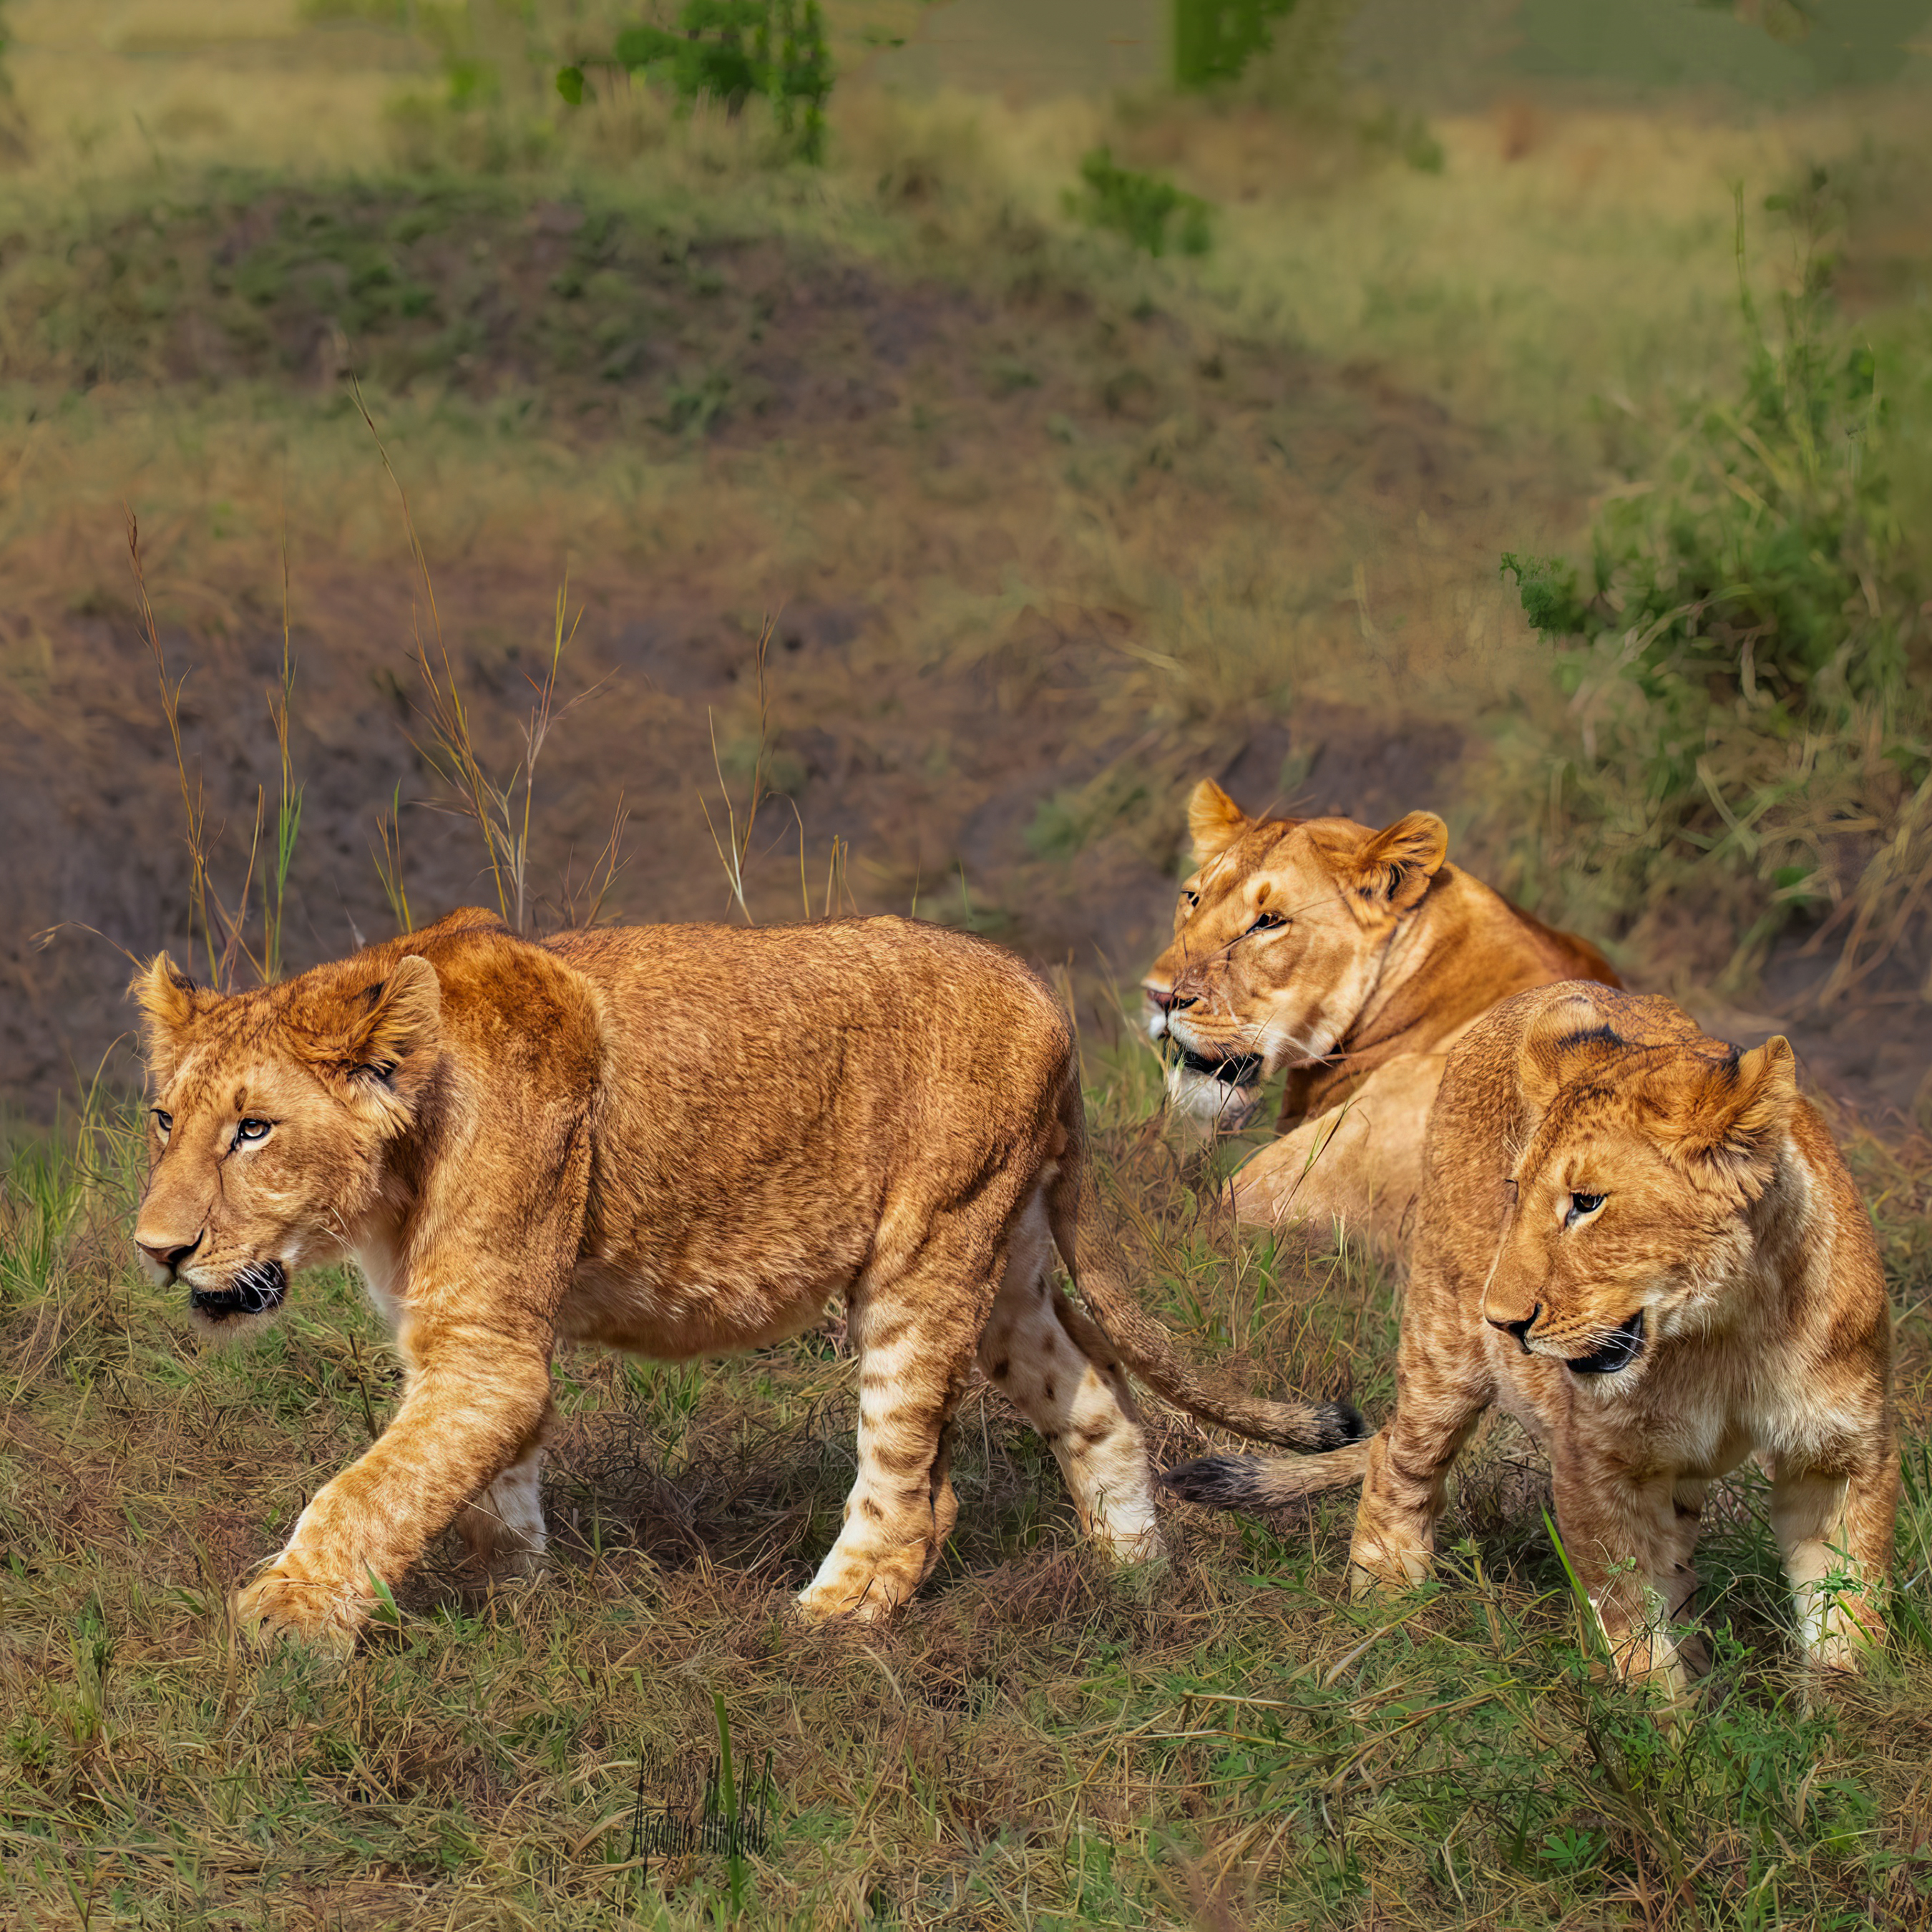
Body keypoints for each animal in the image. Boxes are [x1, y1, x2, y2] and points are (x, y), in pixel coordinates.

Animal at [129, 906, 1365, 1649]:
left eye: (253, 1130)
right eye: (164, 1120)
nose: (157, 1251)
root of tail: (1043, 994)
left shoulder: (484, 1352)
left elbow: (364, 1491)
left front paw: (280, 1625)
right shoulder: (482, 1346)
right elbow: (484, 1483)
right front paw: (516, 1606)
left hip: (922, 1257)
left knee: (914, 1490)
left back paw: (824, 1624)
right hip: (1003, 1263)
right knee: (1100, 1400)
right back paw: (1136, 1587)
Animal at [1166, 982, 1898, 1695]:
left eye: (1588, 1202)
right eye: (1515, 1192)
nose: (1503, 1321)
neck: (1724, 1335)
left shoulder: (1843, 1458)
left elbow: (1846, 1615)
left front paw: (1841, 1717)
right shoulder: (1592, 1465)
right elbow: (1634, 1634)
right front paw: (1668, 1725)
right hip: (1441, 1336)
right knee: (1395, 1456)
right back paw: (1388, 1611)